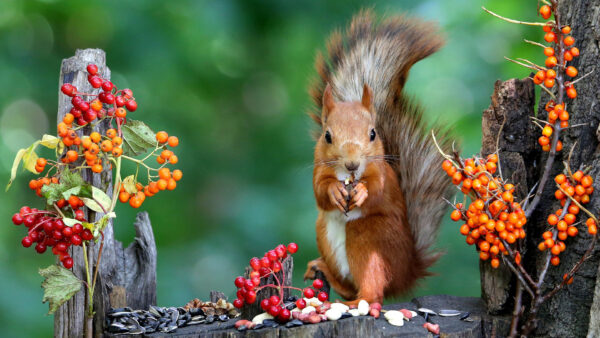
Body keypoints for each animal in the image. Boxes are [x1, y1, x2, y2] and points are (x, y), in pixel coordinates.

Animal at [304, 9, 450, 304]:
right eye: (327, 136)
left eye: (373, 133)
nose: (352, 164)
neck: (348, 177)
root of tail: (407, 273)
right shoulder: (318, 166)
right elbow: (320, 191)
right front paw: (334, 191)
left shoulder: (383, 173)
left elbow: (378, 190)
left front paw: (362, 192)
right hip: (323, 232)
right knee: (350, 284)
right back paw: (326, 273)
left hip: (370, 236)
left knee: (373, 292)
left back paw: (357, 301)